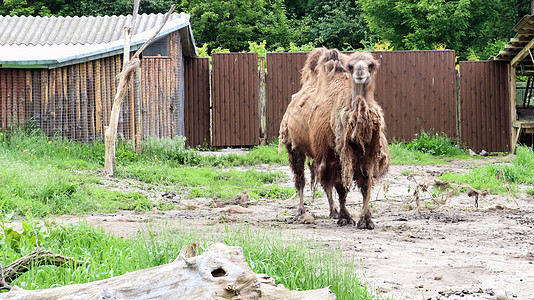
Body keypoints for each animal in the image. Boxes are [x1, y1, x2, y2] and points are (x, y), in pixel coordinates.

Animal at [280, 47, 390, 230]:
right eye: (351, 66)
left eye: (371, 65)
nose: (360, 73)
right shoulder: (337, 156)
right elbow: (341, 187)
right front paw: (346, 218)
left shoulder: (367, 156)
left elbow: (365, 186)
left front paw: (366, 220)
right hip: (295, 146)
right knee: (301, 179)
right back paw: (301, 212)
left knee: (325, 184)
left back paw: (333, 211)